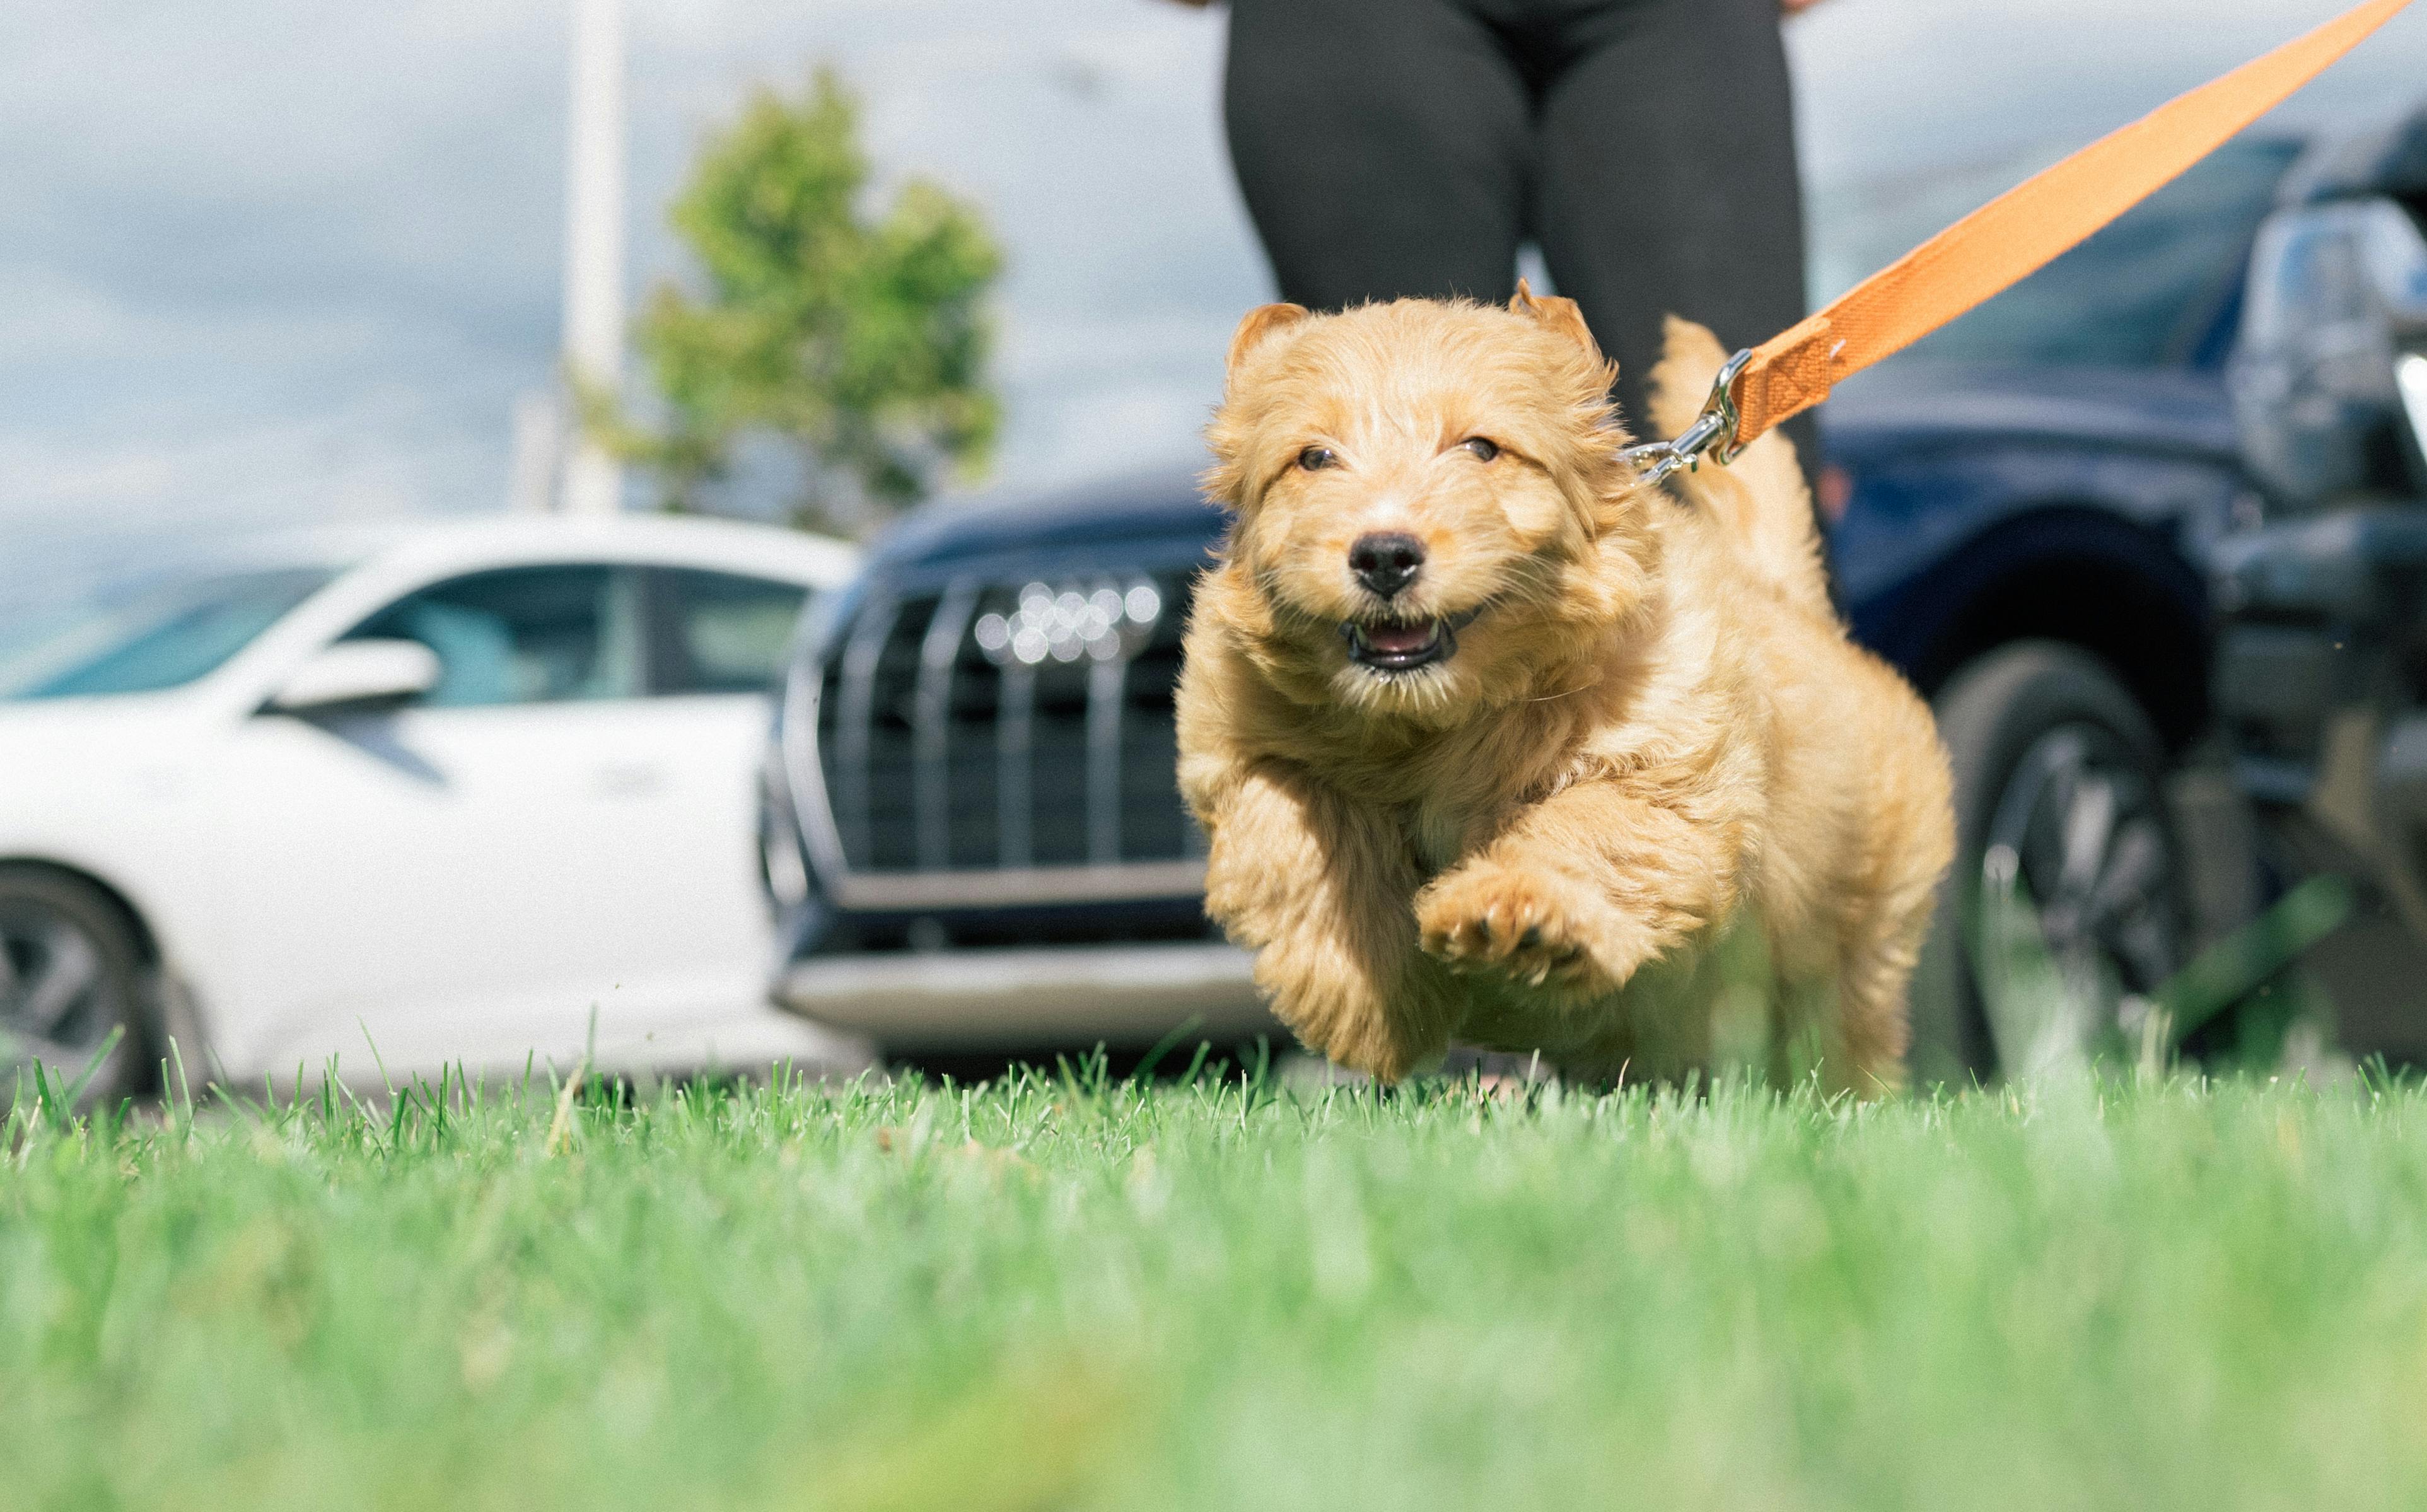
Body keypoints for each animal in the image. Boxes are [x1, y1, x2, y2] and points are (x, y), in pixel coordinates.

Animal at [1170, 289, 1951, 1092]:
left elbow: (1589, 824)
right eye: (1314, 458)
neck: (1439, 718)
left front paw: (1514, 911)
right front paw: (1363, 996)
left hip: (1860, 940)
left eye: (1482, 449)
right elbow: (1292, 831)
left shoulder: (1670, 775)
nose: (1384, 555)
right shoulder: (1237, 742)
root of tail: (1790, 601)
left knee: (1846, 1027)